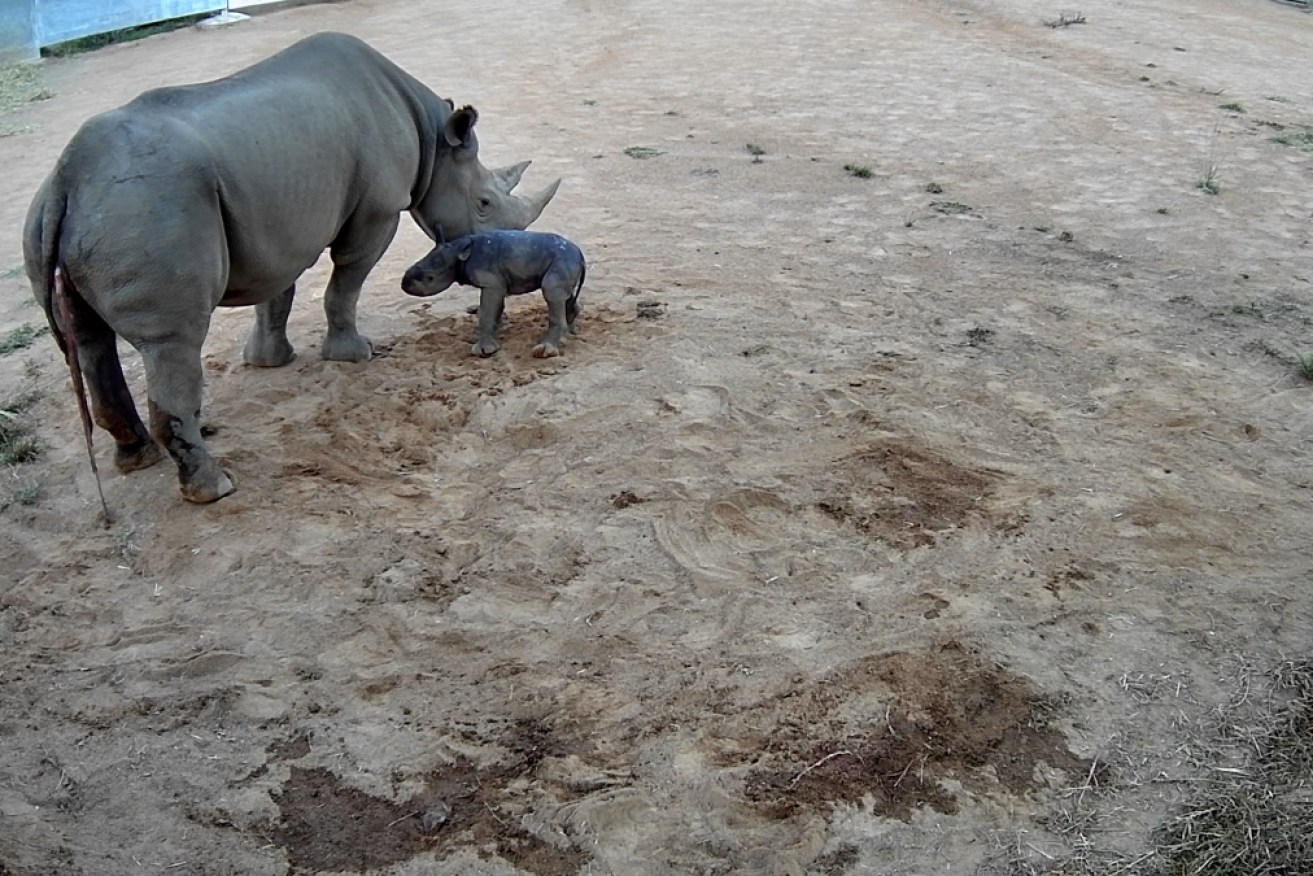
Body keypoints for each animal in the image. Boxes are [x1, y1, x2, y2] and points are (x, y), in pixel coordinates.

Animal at [399, 232, 585, 359]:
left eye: (429, 278)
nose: (404, 284)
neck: (458, 252)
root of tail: (580, 254)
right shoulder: (496, 282)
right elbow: (494, 309)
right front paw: (498, 330)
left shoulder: (491, 283)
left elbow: (486, 314)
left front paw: (483, 351)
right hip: (564, 260)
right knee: (563, 295)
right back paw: (569, 334)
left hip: (563, 259)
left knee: (551, 290)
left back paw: (545, 351)